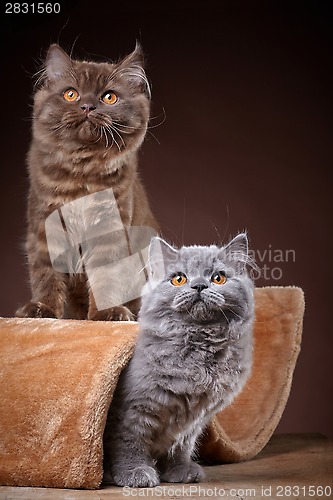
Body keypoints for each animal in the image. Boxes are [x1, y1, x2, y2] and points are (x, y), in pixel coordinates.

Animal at [15, 45, 160, 322]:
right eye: (71, 94)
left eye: (109, 97)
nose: (87, 106)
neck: (82, 173)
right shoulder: (44, 227)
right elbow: (46, 276)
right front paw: (43, 310)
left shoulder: (110, 231)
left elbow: (105, 277)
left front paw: (107, 313)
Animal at [104, 232, 254, 486]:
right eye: (178, 279)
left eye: (218, 278)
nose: (200, 285)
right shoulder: (132, 409)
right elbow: (129, 441)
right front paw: (134, 473)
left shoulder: (193, 420)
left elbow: (181, 446)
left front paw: (179, 470)